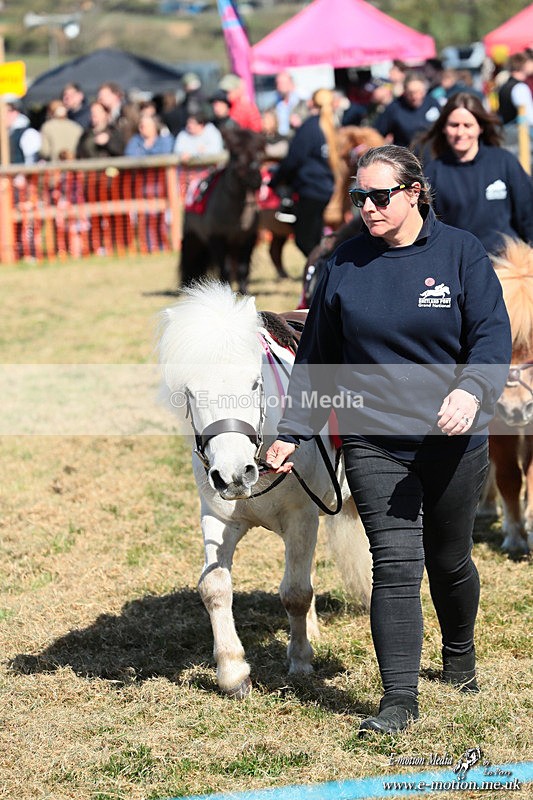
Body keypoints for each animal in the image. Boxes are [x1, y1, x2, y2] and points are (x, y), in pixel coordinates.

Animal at [158, 281, 372, 698]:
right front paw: (232, 672)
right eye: (191, 392)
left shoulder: (301, 518)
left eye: (254, 383)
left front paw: (300, 662)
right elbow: (214, 587)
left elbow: (295, 593)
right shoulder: (218, 518)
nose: (233, 475)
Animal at [178, 128, 265, 294]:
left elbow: (243, 268)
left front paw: (244, 291)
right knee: (190, 262)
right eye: (236, 153)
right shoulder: (217, 239)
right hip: (193, 238)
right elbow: (224, 269)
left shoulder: (247, 238)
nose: (256, 179)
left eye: (259, 152)